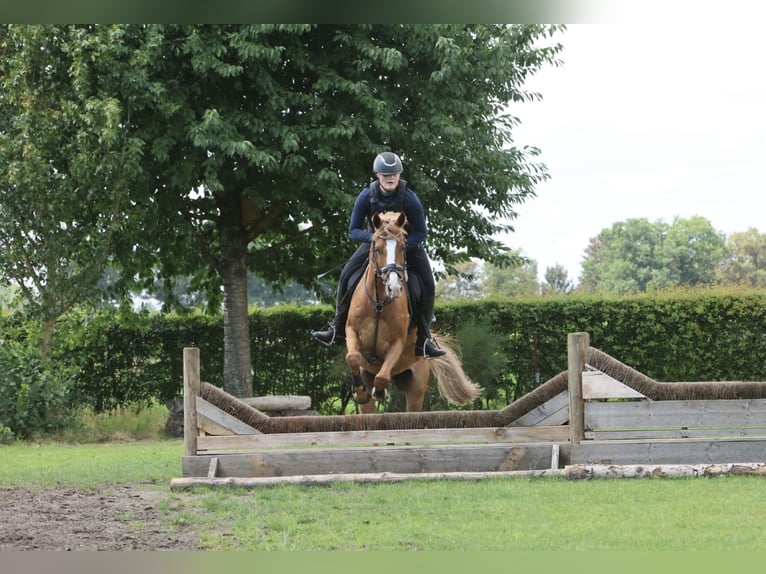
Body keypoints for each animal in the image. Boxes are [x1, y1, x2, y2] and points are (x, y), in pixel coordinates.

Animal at [344, 212, 484, 414]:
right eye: (377, 248)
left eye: (403, 247)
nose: (394, 288)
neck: (379, 303)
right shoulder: (352, 331)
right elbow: (353, 357)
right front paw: (360, 392)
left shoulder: (397, 342)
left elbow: (382, 376)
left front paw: (380, 391)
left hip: (416, 388)